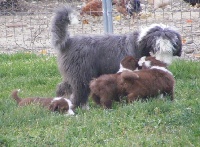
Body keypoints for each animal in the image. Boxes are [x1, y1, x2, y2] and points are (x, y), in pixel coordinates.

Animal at [50, 6, 182, 109]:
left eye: (172, 47)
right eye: (156, 46)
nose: (162, 61)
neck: (140, 44)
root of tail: (69, 42)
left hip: (74, 74)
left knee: (63, 87)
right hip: (82, 74)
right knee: (79, 92)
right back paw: (81, 107)